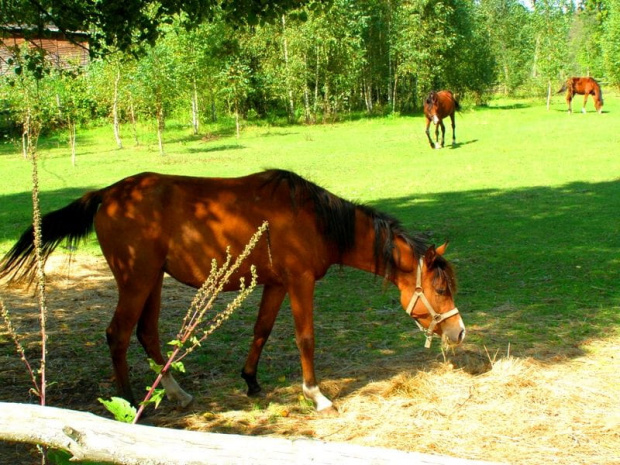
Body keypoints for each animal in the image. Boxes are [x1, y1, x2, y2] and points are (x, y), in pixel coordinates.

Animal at [0, 170, 464, 414]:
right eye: (440, 288)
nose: (458, 332)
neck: (314, 218)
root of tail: (108, 194)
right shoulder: (299, 282)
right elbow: (305, 338)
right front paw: (316, 395)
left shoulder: (276, 285)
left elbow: (261, 331)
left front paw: (251, 380)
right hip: (136, 280)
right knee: (118, 335)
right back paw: (129, 401)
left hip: (151, 281)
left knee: (147, 334)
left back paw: (176, 392)